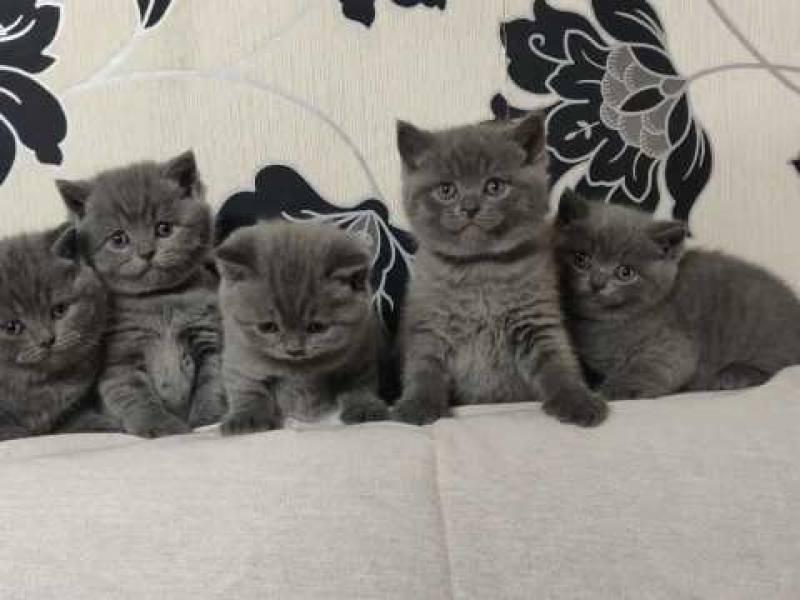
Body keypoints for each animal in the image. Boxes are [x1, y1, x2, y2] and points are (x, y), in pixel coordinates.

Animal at [56, 151, 226, 437]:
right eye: (119, 239)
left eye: (164, 228)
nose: (147, 252)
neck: (160, 300)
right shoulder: (119, 360)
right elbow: (136, 397)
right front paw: (162, 427)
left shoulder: (210, 337)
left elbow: (213, 382)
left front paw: (207, 420)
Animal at [215, 221, 388, 435]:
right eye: (268, 327)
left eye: (317, 327)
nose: (294, 350)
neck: (299, 369)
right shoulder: (239, 356)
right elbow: (246, 388)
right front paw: (247, 418)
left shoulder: (361, 353)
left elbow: (359, 385)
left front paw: (365, 407)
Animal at [391, 113, 607, 426]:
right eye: (446, 190)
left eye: (494, 186)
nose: (469, 207)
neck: (480, 268)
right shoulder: (430, 325)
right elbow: (423, 367)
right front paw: (417, 405)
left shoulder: (536, 320)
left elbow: (558, 362)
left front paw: (578, 400)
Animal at [555, 189, 800, 398]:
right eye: (581, 259)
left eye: (625, 272)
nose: (597, 283)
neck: (605, 324)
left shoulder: (673, 346)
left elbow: (650, 369)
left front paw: (610, 391)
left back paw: (733, 376)